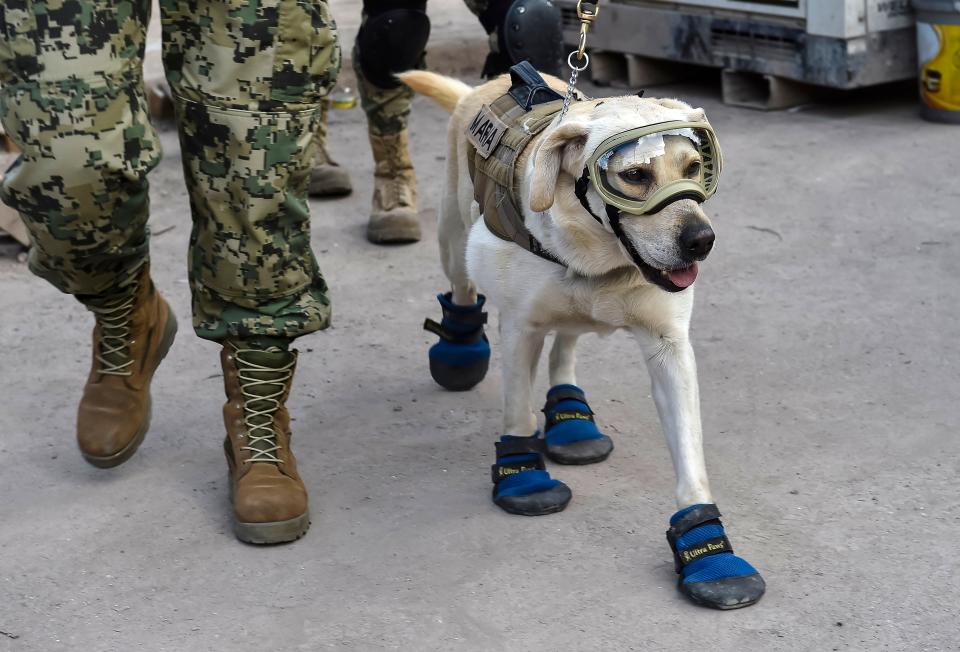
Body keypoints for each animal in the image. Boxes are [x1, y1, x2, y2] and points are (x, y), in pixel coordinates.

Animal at [404, 67, 764, 612]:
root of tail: (486, 83)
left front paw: (710, 552)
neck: (601, 258)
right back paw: (460, 349)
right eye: (634, 176)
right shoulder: (520, 327)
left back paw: (571, 417)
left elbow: (690, 459)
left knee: (566, 345)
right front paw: (522, 475)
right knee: (463, 288)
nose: (702, 241)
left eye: (694, 166)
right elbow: (517, 412)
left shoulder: (669, 349)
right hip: (452, 240)